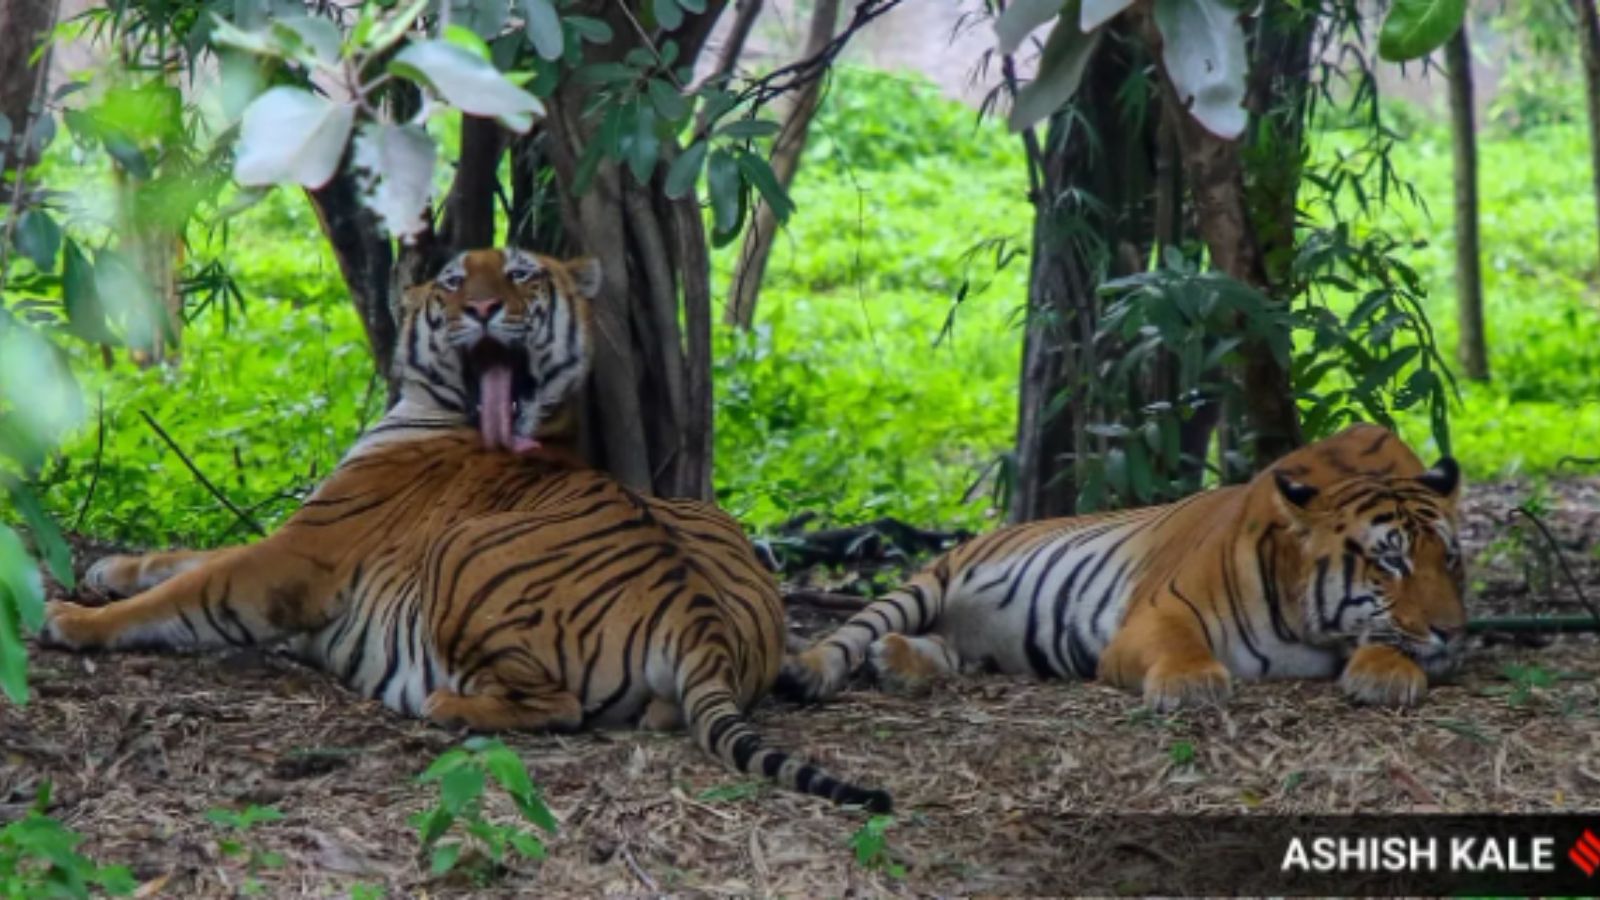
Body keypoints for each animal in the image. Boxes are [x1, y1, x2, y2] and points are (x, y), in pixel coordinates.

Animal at [39, 247, 890, 813]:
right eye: (454, 281)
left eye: (521, 275)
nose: (480, 309)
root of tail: (700, 616)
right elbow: (190, 555)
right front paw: (109, 570)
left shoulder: (301, 554)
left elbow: (192, 588)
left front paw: (73, 619)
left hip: (462, 557)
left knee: (557, 707)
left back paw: (448, 706)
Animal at [780, 424, 1467, 712]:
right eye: (1390, 561)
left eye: (1450, 560)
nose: (1454, 632)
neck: (1306, 627)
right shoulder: (1156, 614)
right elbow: (1180, 647)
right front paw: (1191, 685)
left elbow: (1387, 643)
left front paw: (1386, 674)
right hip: (926, 582)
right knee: (851, 631)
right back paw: (809, 671)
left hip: (976, 645)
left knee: (947, 651)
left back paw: (897, 663)